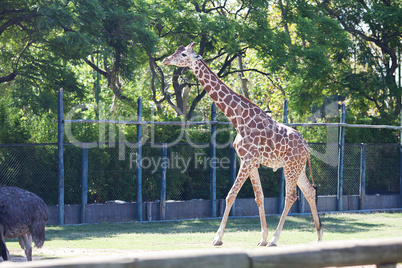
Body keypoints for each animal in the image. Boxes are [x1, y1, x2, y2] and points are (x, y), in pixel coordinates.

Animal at [162, 42, 322, 247]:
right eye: (176, 50)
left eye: (183, 54)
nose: (166, 60)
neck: (238, 119)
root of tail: (308, 148)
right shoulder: (251, 162)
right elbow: (259, 197)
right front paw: (262, 238)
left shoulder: (248, 160)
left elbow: (231, 195)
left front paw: (218, 238)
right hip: (298, 167)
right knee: (309, 191)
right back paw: (319, 235)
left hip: (291, 167)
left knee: (291, 196)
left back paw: (276, 239)